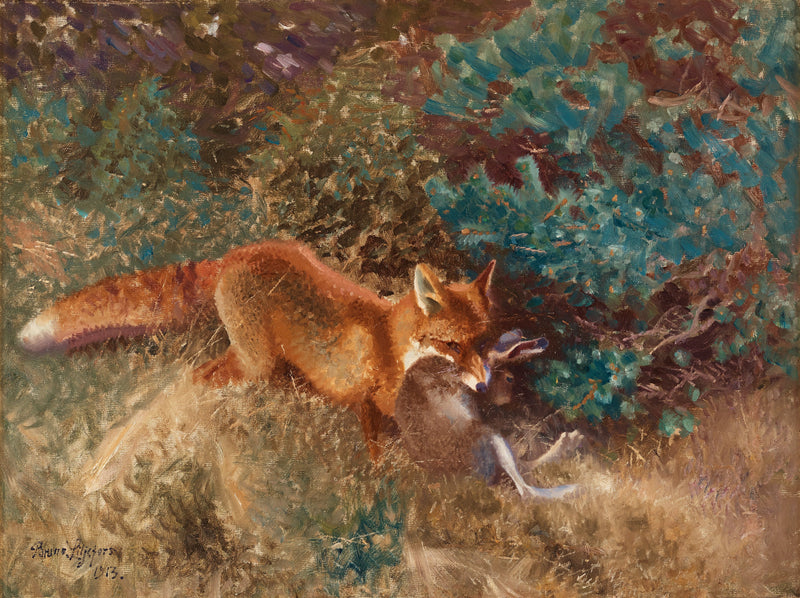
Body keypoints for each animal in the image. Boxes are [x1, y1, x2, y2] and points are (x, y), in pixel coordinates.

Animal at [18, 239, 496, 456]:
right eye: (452, 344)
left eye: (481, 341)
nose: (483, 383)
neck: (389, 340)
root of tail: (233, 256)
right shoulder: (371, 406)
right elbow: (382, 461)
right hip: (253, 363)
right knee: (195, 379)